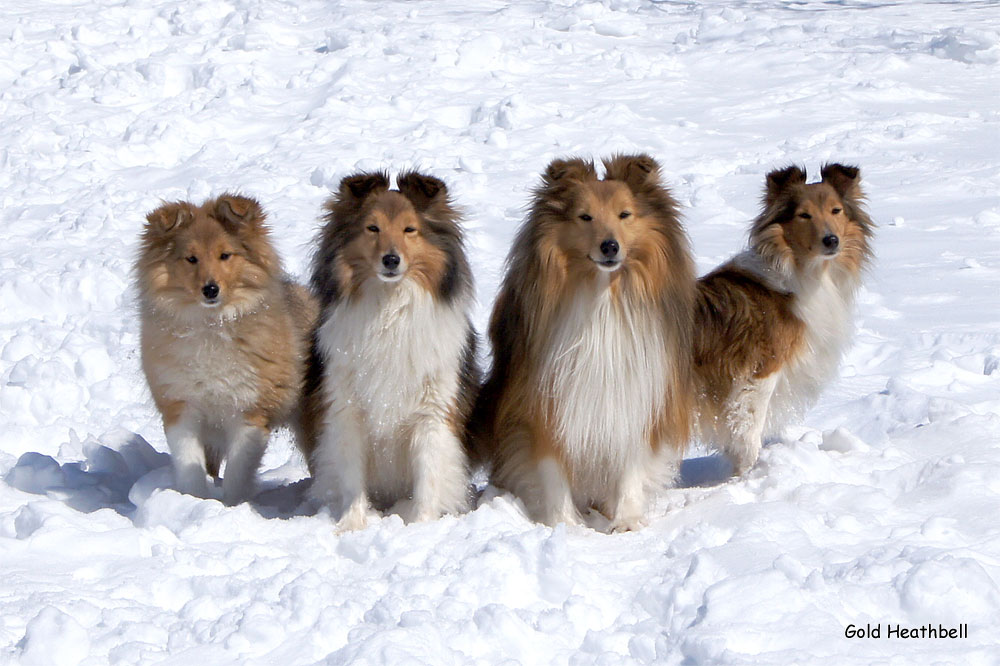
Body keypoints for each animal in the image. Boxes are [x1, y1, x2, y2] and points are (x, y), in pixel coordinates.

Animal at [137, 192, 316, 504]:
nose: (210, 289)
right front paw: (192, 501)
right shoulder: (180, 406)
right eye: (191, 258)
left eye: (225, 255)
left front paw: (232, 506)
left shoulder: (249, 411)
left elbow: (237, 473)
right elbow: (189, 465)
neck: (212, 326)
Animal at [302, 170, 478, 528]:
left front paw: (420, 526)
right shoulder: (347, 408)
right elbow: (352, 478)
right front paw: (351, 525)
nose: (391, 260)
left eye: (410, 229)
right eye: (373, 228)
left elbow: (428, 477)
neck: (390, 309)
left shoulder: (433, 411)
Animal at [470, 154, 692, 528]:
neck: (601, 297)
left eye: (624, 214)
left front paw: (627, 521)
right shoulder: (543, 402)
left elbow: (630, 463)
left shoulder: (636, 395)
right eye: (585, 216)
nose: (609, 246)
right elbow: (551, 468)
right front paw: (564, 525)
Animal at [696, 162, 876, 472]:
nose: (831, 240)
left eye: (836, 210)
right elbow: (749, 432)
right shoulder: (760, 373)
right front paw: (747, 473)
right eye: (804, 215)